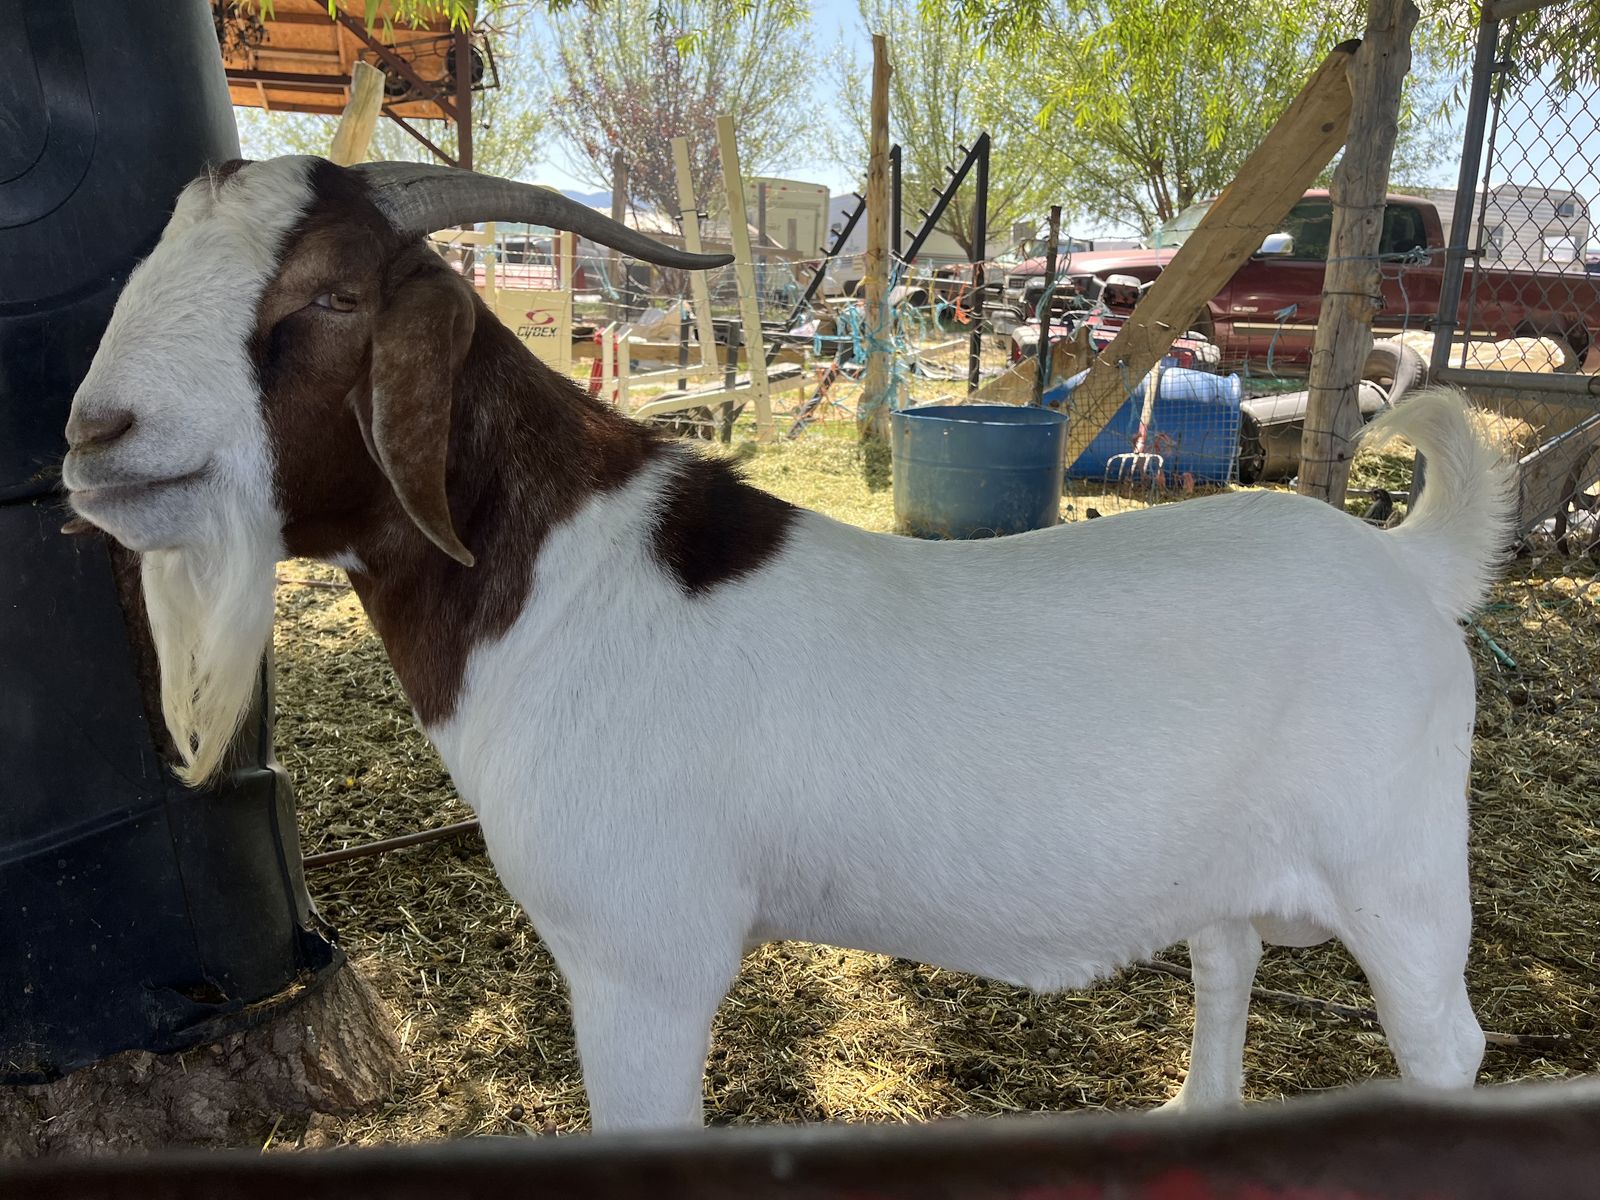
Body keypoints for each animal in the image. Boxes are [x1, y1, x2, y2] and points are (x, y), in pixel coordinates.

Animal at [63, 156, 1514, 1133]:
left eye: (329, 295)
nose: (95, 434)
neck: (557, 579)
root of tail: (1407, 563)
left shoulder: (642, 954)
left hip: (1401, 871)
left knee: (1447, 1043)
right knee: (1225, 958)